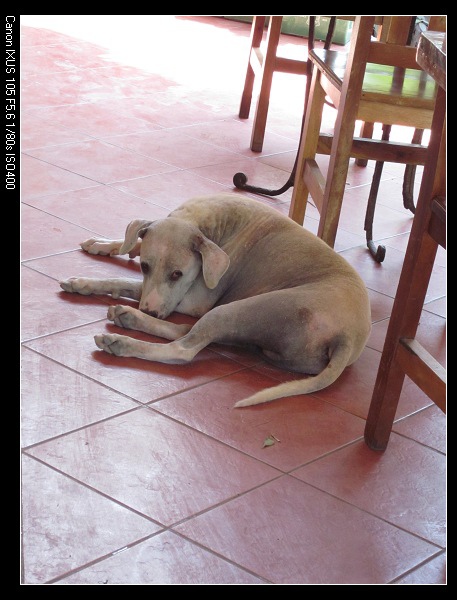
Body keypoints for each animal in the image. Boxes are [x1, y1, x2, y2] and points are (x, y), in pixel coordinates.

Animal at [59, 192, 370, 408]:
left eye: (177, 274)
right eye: (146, 267)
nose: (150, 310)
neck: (206, 222)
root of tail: (347, 339)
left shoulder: (192, 299)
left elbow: (127, 283)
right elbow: (132, 250)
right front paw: (102, 250)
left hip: (246, 308)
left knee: (183, 348)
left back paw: (123, 338)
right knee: (186, 331)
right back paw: (129, 318)